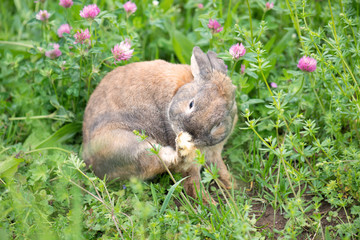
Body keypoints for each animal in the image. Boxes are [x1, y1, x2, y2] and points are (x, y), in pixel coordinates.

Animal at [82, 46, 238, 200]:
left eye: (218, 124)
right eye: (191, 104)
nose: (190, 133)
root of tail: (91, 163)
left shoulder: (214, 153)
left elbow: (220, 169)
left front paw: (231, 184)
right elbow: (192, 181)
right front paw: (206, 201)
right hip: (129, 144)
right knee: (168, 161)